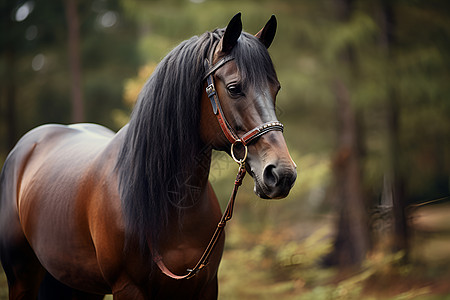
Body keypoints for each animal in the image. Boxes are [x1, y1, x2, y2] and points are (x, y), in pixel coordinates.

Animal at [0, 12, 298, 298]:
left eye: (276, 89)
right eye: (235, 88)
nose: (282, 173)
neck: (171, 204)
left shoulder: (205, 286)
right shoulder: (128, 287)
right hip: (22, 278)